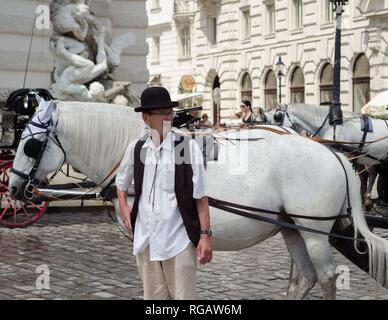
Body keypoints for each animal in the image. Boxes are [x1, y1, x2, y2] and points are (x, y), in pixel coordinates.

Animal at [8, 100, 388, 300]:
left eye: (31, 145)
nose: (12, 188)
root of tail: (333, 153)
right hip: (290, 228)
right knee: (305, 277)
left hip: (314, 232)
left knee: (326, 276)